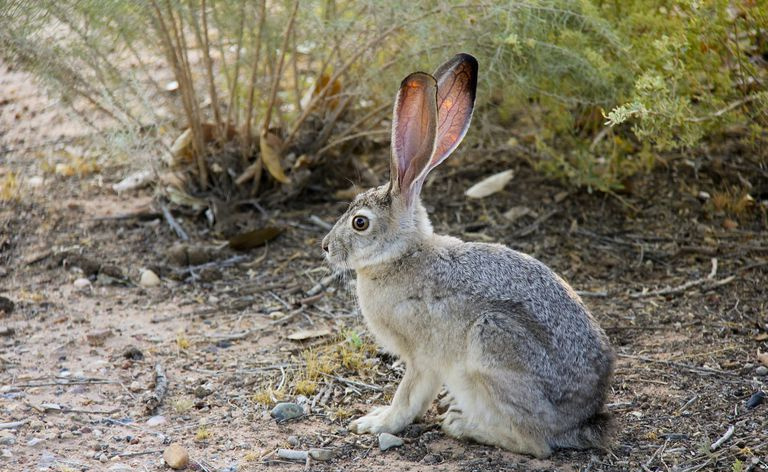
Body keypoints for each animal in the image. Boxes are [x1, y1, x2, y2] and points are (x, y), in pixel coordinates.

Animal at [321, 53, 615, 458]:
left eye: (360, 223)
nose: (326, 247)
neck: (402, 254)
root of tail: (582, 420)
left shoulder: (422, 357)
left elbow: (408, 397)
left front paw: (377, 422)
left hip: (490, 343)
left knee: (535, 443)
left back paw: (464, 425)